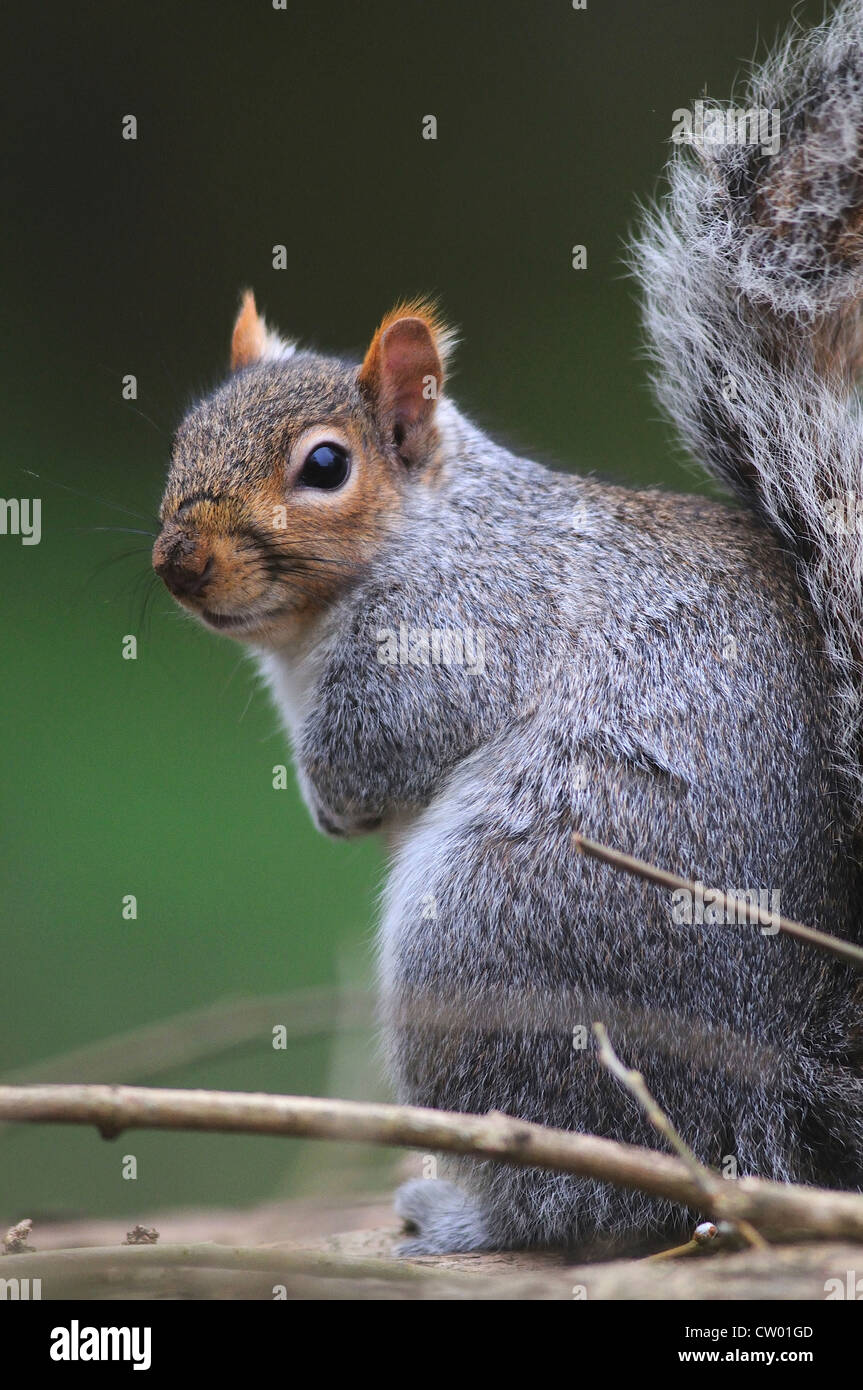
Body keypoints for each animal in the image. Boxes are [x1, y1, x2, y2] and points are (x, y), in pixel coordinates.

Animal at [154, 0, 861, 1256]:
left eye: (323, 468)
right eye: (185, 432)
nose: (175, 560)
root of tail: (751, 1101)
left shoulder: (460, 624)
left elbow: (383, 743)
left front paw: (334, 801)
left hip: (490, 936)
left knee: (574, 1192)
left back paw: (460, 1209)